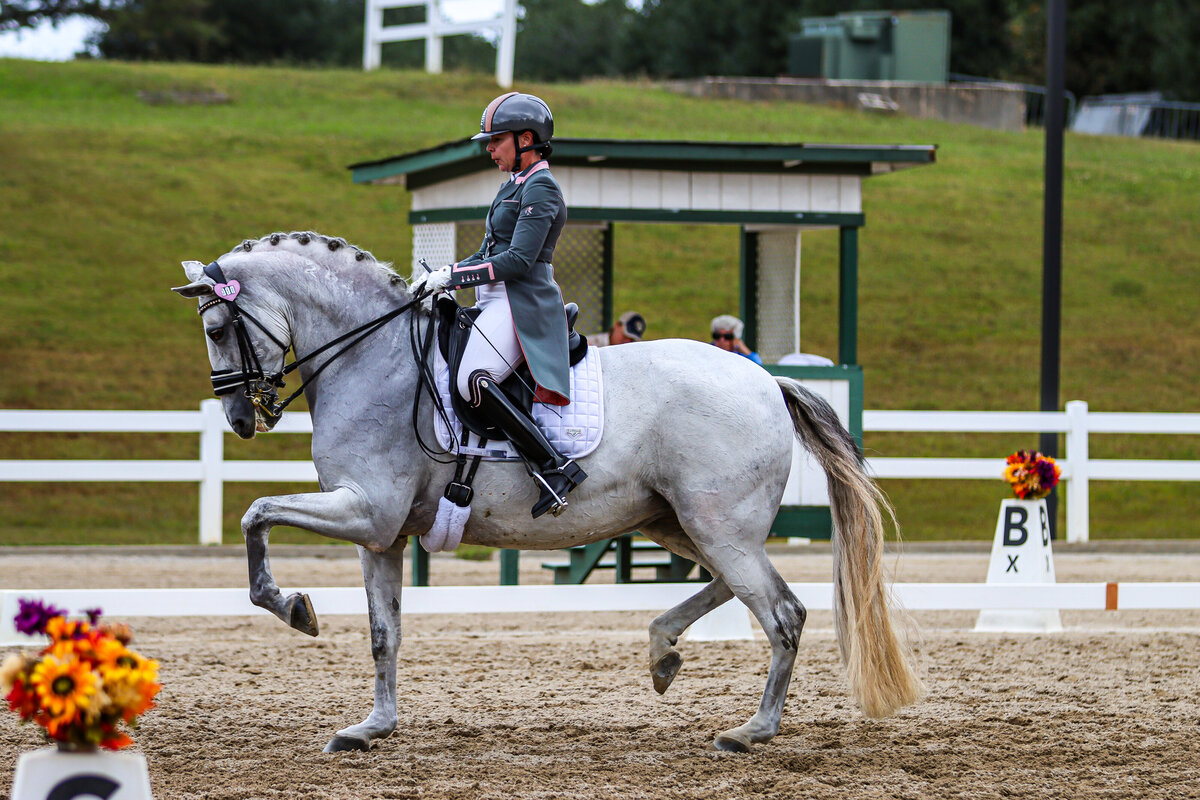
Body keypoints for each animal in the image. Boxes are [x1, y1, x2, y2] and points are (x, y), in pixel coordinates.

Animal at [171, 231, 924, 754]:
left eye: (216, 328)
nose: (239, 419)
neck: (369, 356)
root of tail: (767, 379)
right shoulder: (380, 534)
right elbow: (385, 633)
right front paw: (372, 727)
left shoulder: (366, 511)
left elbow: (256, 513)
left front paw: (292, 606)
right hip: (680, 522)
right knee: (735, 587)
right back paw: (663, 652)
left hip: (716, 525)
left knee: (782, 613)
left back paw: (751, 731)